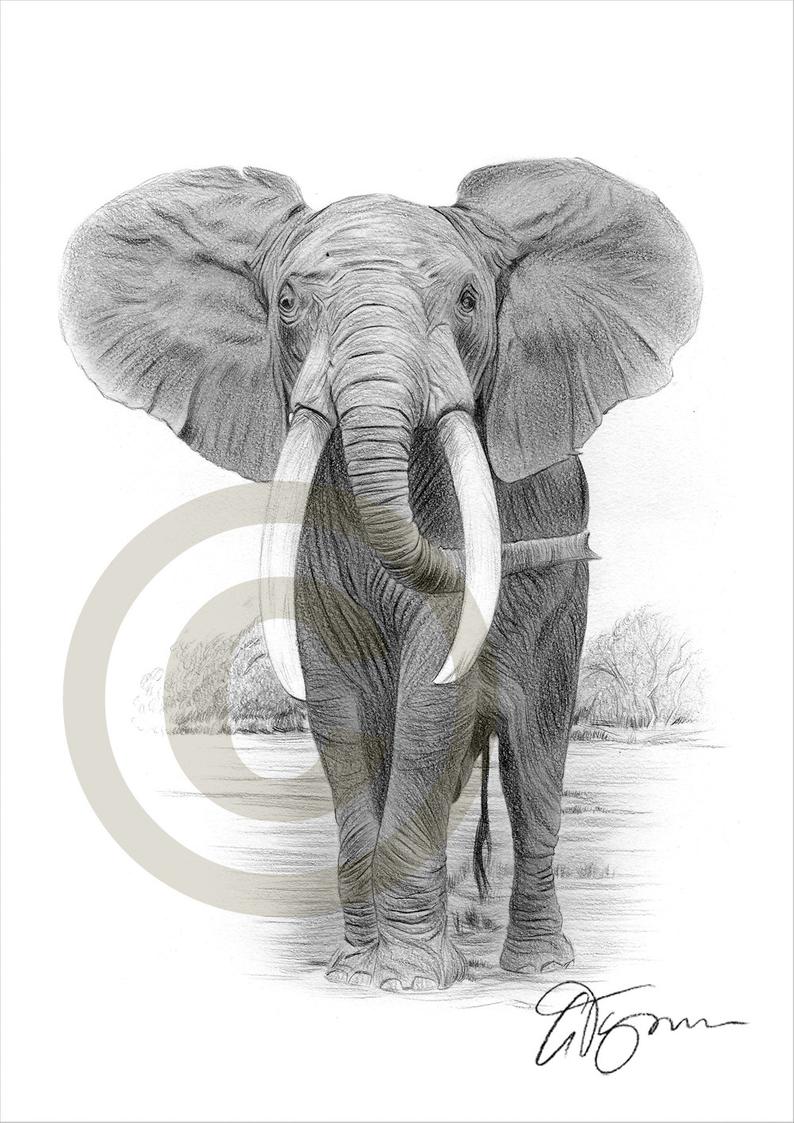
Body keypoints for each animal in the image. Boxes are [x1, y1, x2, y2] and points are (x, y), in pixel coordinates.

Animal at [60, 159, 701, 991]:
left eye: (468, 300)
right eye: (289, 303)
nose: (570, 546)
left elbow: (433, 690)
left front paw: (411, 981)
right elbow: (337, 700)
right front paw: (355, 971)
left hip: (565, 613)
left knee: (534, 756)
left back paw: (536, 967)